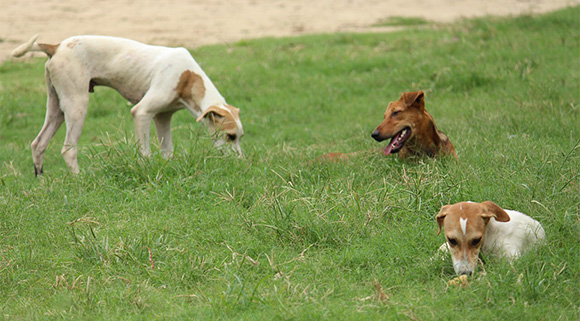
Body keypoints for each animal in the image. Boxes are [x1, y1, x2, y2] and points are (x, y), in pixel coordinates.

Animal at [13, 34, 245, 175]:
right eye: (230, 136)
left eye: (239, 137)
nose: (241, 162)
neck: (187, 77)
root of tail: (56, 46)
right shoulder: (142, 113)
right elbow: (145, 152)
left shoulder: (163, 117)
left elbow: (167, 152)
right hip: (76, 105)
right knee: (68, 150)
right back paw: (80, 179)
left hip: (56, 108)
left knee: (38, 144)